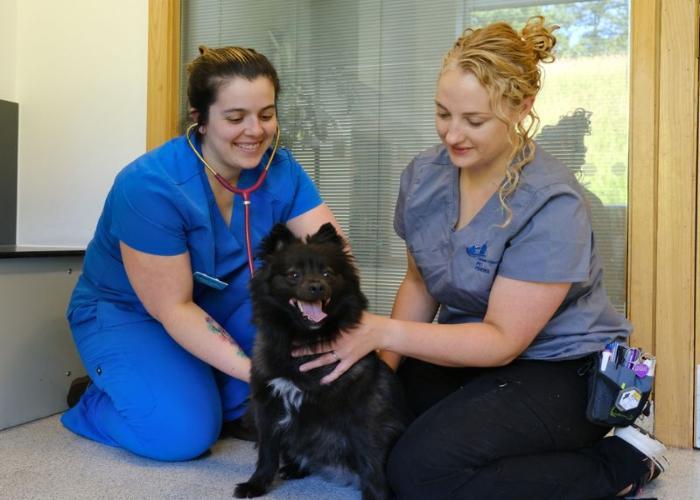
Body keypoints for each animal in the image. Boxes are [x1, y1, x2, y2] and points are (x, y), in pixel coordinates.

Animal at [234, 224, 404, 500]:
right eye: (293, 274)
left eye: (327, 273)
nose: (316, 286)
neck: (308, 342)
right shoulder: (267, 408)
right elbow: (266, 454)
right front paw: (256, 484)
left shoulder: (364, 414)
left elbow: (371, 463)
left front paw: (376, 496)